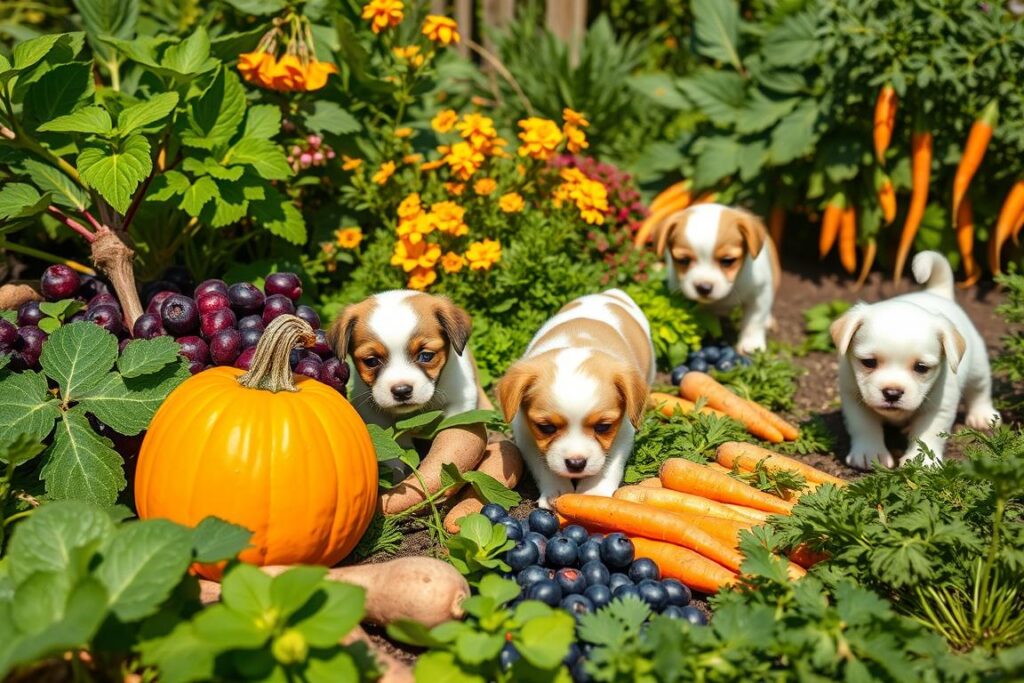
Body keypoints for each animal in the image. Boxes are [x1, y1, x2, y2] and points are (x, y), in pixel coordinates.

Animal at [495, 288, 655, 507]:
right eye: (546, 428)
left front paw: (594, 492)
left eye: (603, 427)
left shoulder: (623, 432)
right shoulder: (526, 433)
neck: (578, 343)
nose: (576, 463)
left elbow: (609, 464)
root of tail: (610, 294)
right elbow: (544, 464)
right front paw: (556, 489)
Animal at [651, 202, 778, 352]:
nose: (704, 287)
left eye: (727, 261)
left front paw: (752, 343)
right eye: (683, 260)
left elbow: (755, 319)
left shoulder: (759, 293)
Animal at [827, 250, 995, 471]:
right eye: (869, 362)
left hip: (977, 367)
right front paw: (869, 452)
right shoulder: (854, 398)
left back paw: (982, 415)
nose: (892, 393)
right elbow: (864, 425)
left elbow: (928, 434)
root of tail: (936, 292)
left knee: (979, 391)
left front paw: (923, 461)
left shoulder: (938, 408)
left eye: (921, 368)